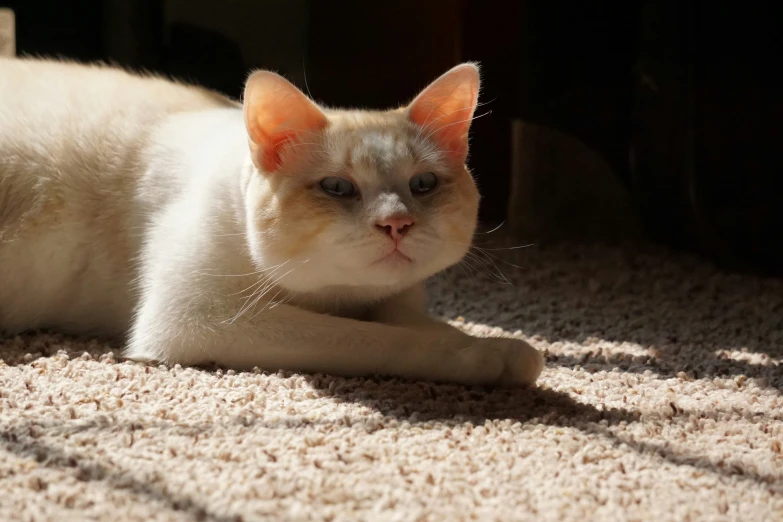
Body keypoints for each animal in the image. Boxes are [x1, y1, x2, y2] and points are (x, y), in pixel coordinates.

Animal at [0, 58, 544, 386]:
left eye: (424, 184)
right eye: (337, 188)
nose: (397, 223)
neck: (337, 297)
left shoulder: (395, 301)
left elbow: (423, 325)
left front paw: (489, 344)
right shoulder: (196, 318)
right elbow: (386, 340)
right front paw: (496, 356)